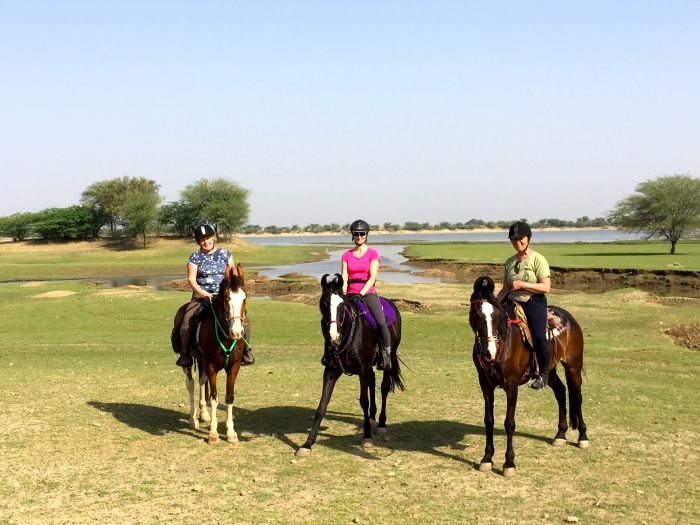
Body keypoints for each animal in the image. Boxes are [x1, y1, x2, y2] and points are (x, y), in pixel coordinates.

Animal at [172, 262, 249, 442]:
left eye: (244, 298)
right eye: (227, 298)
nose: (237, 332)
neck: (225, 336)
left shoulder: (233, 367)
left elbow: (229, 397)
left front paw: (231, 433)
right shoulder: (212, 366)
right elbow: (214, 398)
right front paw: (213, 433)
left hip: (202, 361)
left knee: (201, 381)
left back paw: (204, 414)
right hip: (189, 361)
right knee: (191, 383)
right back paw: (193, 419)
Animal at [296, 274, 404, 454]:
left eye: (342, 305)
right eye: (324, 304)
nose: (334, 337)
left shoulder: (363, 368)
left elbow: (363, 401)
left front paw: (366, 436)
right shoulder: (331, 371)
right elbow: (322, 406)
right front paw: (307, 443)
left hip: (388, 359)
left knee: (384, 387)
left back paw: (381, 423)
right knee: (373, 382)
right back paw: (372, 418)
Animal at [468, 274, 588, 474]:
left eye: (496, 314)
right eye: (476, 313)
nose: (489, 352)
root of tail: (568, 318)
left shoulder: (511, 385)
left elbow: (509, 423)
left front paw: (509, 463)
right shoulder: (485, 384)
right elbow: (489, 420)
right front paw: (487, 458)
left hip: (573, 366)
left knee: (577, 396)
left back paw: (583, 437)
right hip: (549, 370)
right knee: (561, 391)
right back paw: (560, 434)